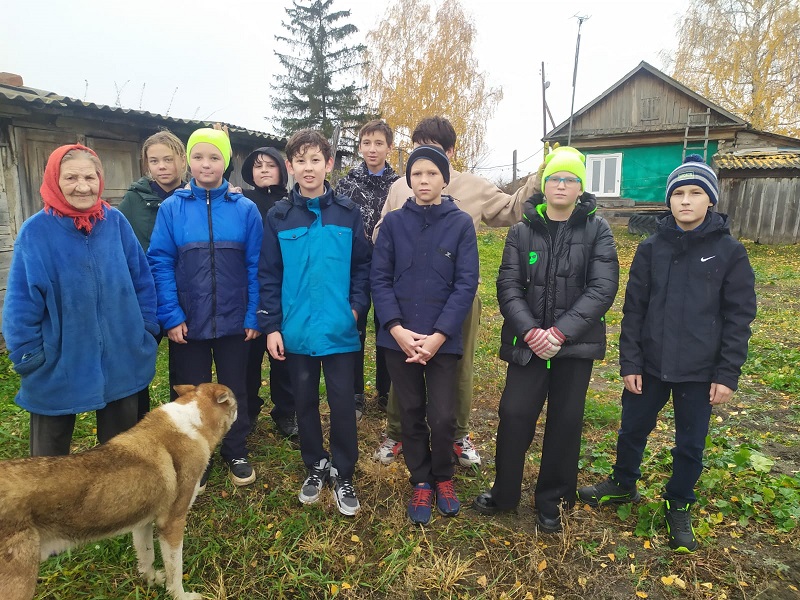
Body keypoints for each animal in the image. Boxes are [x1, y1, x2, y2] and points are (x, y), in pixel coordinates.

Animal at [0, 384, 238, 600]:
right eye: (235, 402)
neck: (191, 423)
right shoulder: (172, 524)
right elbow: (175, 572)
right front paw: (181, 595)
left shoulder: (143, 522)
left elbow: (146, 556)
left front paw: (152, 580)